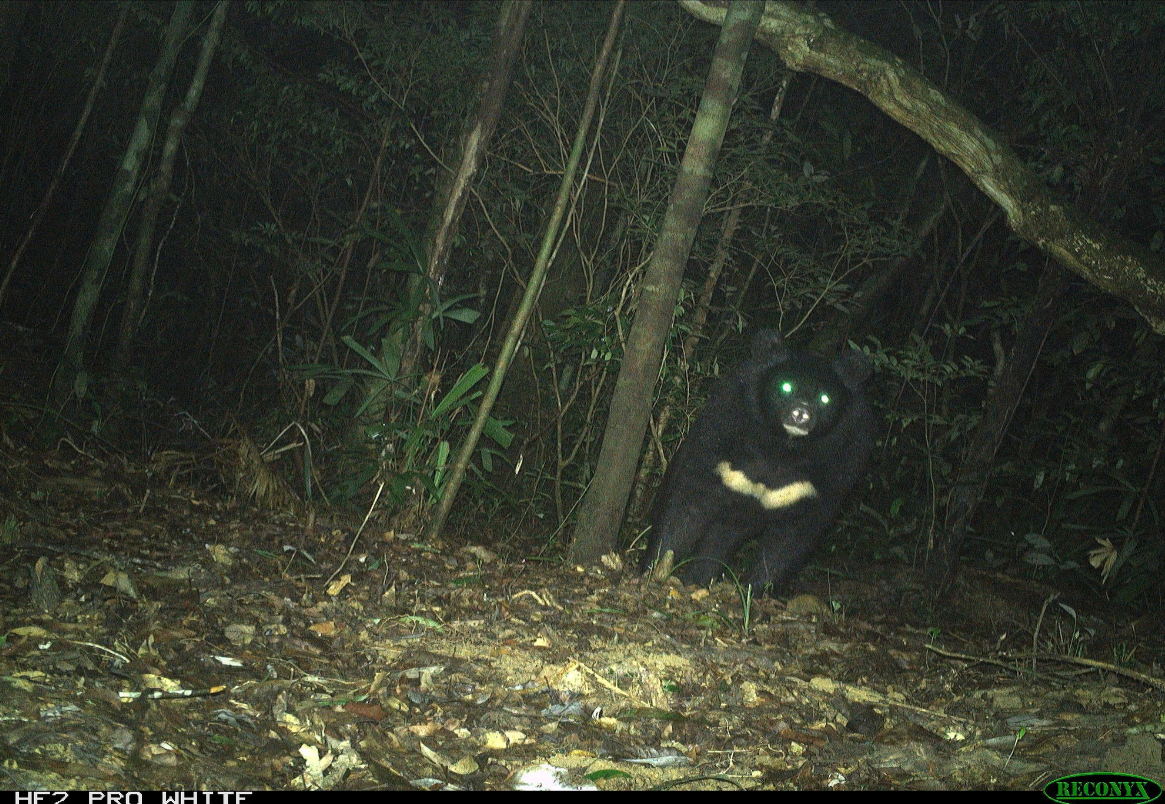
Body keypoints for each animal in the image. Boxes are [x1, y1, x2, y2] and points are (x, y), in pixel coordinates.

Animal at [647, 326, 876, 589]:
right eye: (785, 386)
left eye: (825, 398)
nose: (801, 413)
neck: (782, 447)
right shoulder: (720, 437)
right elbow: (686, 506)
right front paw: (655, 569)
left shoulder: (831, 473)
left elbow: (792, 539)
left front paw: (755, 588)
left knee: (720, 541)